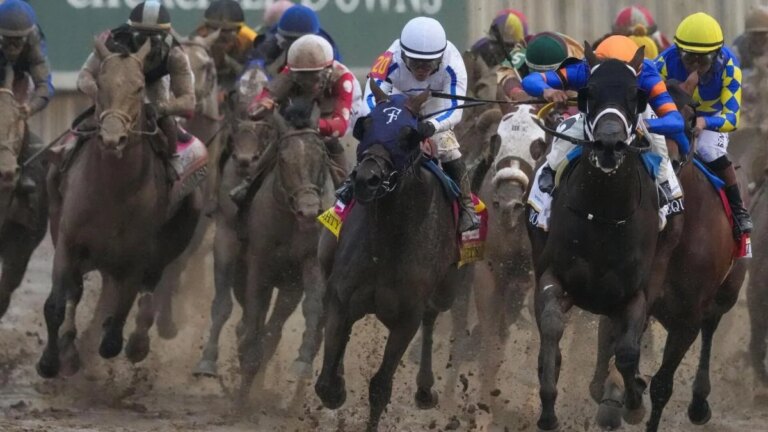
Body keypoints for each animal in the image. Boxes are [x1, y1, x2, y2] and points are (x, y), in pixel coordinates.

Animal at [36, 39, 203, 378]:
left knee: (149, 288)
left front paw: (112, 340)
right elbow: (57, 304)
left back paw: (137, 341)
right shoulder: (69, 243)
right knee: (76, 290)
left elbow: (116, 326)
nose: (112, 138)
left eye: (139, 88)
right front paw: (50, 360)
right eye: (101, 84)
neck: (112, 190)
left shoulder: (134, 257)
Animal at [193, 118, 278, 377]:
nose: (244, 159)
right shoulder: (226, 238)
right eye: (234, 129)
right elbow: (223, 304)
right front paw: (207, 360)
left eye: (265, 131)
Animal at [235, 97, 335, 405]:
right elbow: (254, 306)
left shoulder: (309, 263)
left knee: (278, 327)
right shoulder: (259, 260)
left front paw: (302, 362)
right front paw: (247, 360)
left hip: (291, 285)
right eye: (282, 158)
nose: (309, 211)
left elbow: (313, 305)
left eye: (322, 155)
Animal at [314, 80, 472, 431]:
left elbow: (380, 386)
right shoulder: (341, 298)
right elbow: (327, 382)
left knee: (432, 316)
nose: (367, 179)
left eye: (408, 135)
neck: (386, 241)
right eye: (366, 124)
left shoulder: (406, 317)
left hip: (447, 287)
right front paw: (338, 385)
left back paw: (425, 389)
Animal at [529, 44, 659, 432]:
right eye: (589, 93)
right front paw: (548, 409)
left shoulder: (635, 292)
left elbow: (628, 351)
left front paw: (633, 403)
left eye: (635, 95)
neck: (603, 215)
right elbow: (551, 326)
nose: (609, 144)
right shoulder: (553, 275)